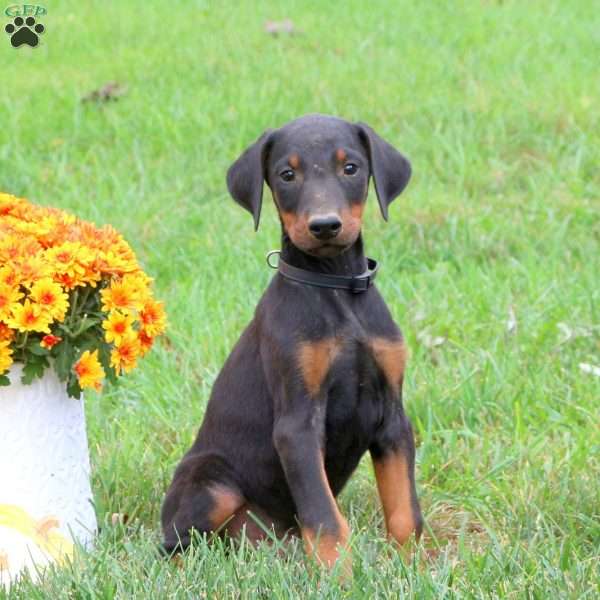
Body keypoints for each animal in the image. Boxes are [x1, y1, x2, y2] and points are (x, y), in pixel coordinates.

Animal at [159, 113, 422, 572]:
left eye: (350, 168)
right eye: (287, 175)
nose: (325, 226)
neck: (337, 288)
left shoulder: (392, 417)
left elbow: (405, 511)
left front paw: (414, 570)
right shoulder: (297, 423)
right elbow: (325, 519)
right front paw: (340, 578)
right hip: (212, 482)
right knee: (173, 545)